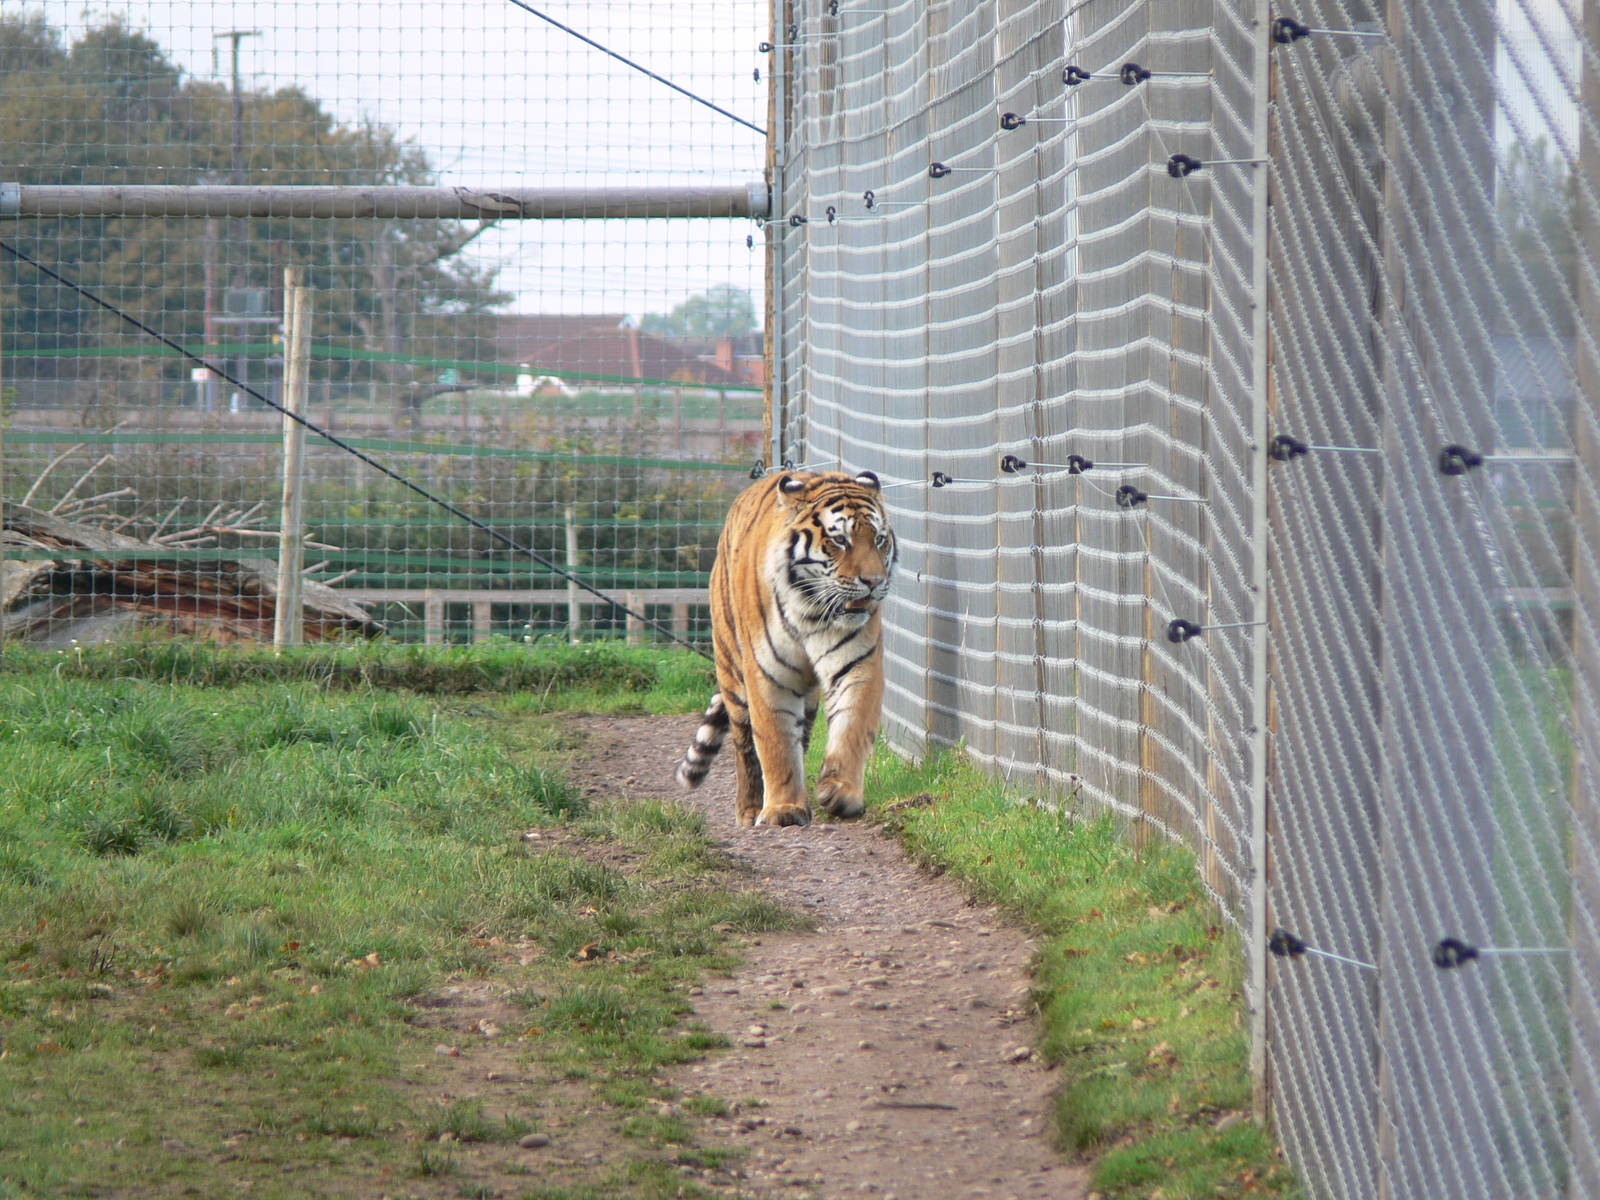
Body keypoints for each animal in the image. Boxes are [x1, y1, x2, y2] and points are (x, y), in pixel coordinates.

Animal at [676, 469, 896, 827]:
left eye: (879, 539)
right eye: (840, 540)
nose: (875, 582)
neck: (812, 610)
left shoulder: (857, 663)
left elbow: (852, 727)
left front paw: (841, 793)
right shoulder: (768, 673)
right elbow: (774, 741)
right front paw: (783, 809)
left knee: (801, 735)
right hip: (732, 672)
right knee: (744, 744)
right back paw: (749, 809)